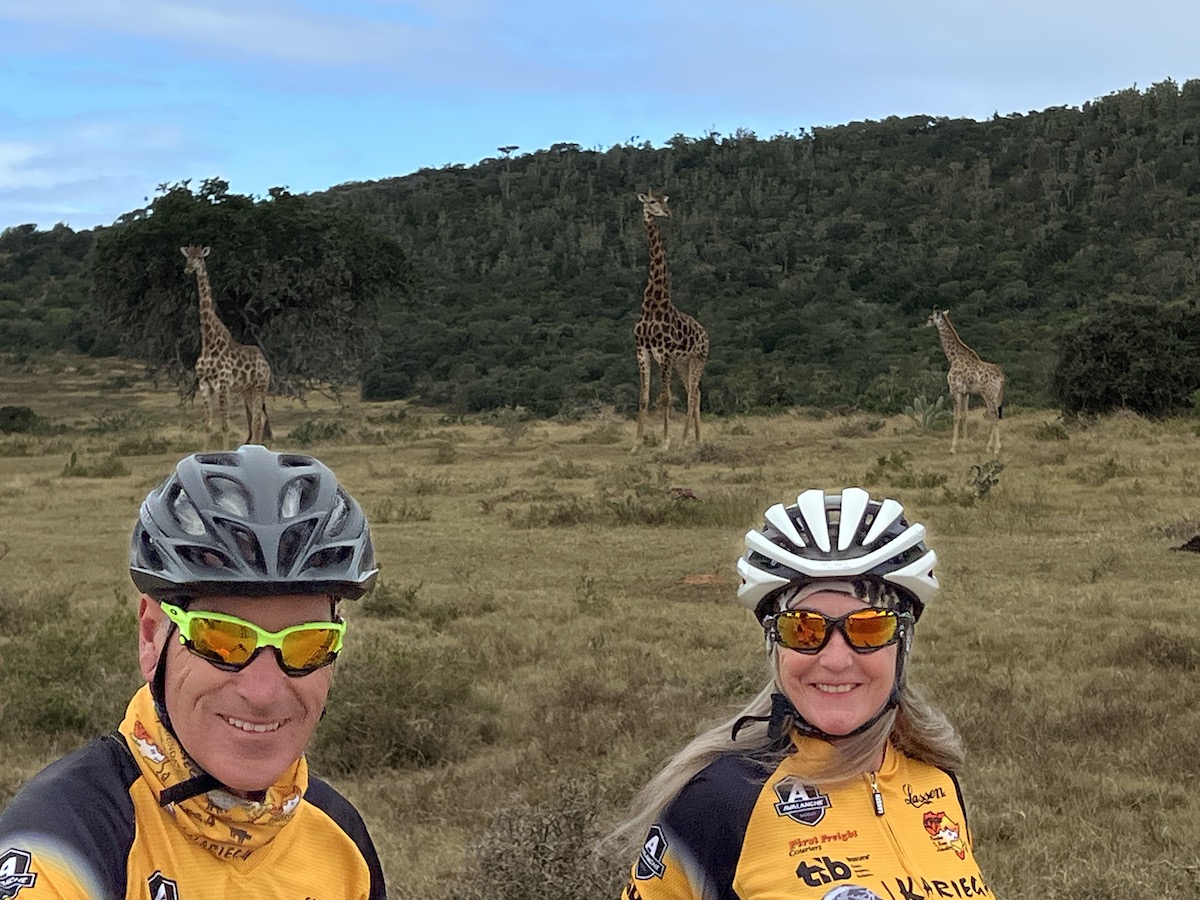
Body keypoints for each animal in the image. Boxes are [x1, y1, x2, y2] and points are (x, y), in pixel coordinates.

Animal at [180, 244, 272, 448]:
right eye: (187, 257)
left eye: (199, 257)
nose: (188, 269)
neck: (208, 341)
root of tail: (266, 363)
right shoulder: (204, 384)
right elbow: (208, 425)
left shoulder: (222, 384)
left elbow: (225, 425)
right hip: (247, 389)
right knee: (258, 419)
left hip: (261, 386)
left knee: (258, 419)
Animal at [633, 189, 705, 451]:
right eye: (652, 202)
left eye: (664, 201)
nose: (668, 213)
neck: (653, 305)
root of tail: (705, 332)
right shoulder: (642, 350)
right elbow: (643, 397)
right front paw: (636, 444)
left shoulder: (664, 353)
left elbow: (665, 397)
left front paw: (665, 442)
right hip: (683, 362)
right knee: (695, 393)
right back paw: (697, 440)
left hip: (698, 358)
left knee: (693, 394)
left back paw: (684, 441)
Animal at [926, 309, 1003, 453]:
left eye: (930, 318)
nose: (926, 324)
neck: (953, 357)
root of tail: (1001, 376)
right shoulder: (966, 392)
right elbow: (965, 416)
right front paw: (965, 444)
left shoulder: (954, 390)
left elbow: (956, 417)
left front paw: (953, 448)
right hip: (994, 396)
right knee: (993, 415)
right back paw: (989, 447)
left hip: (988, 394)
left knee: (994, 416)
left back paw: (996, 448)